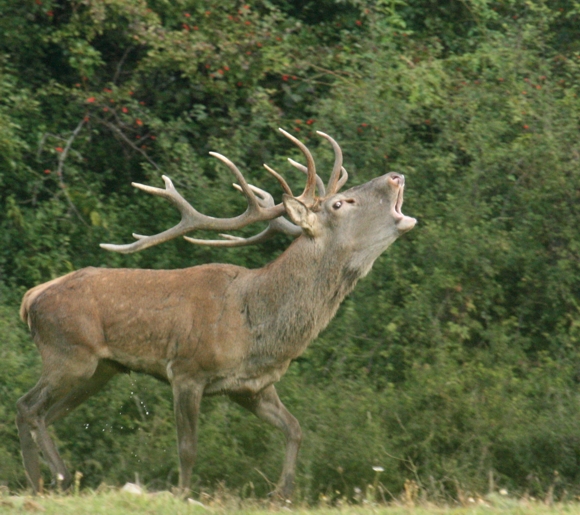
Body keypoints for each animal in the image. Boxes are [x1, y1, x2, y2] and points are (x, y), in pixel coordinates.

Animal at [15, 129, 414, 500]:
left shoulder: (251, 387)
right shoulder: (187, 371)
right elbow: (188, 449)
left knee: (47, 414)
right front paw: (182, 494)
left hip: (102, 369)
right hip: (69, 354)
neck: (258, 328)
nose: (396, 176)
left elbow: (295, 429)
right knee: (27, 407)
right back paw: (55, 477)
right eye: (340, 204)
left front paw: (282, 493)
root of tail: (30, 298)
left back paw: (42, 481)